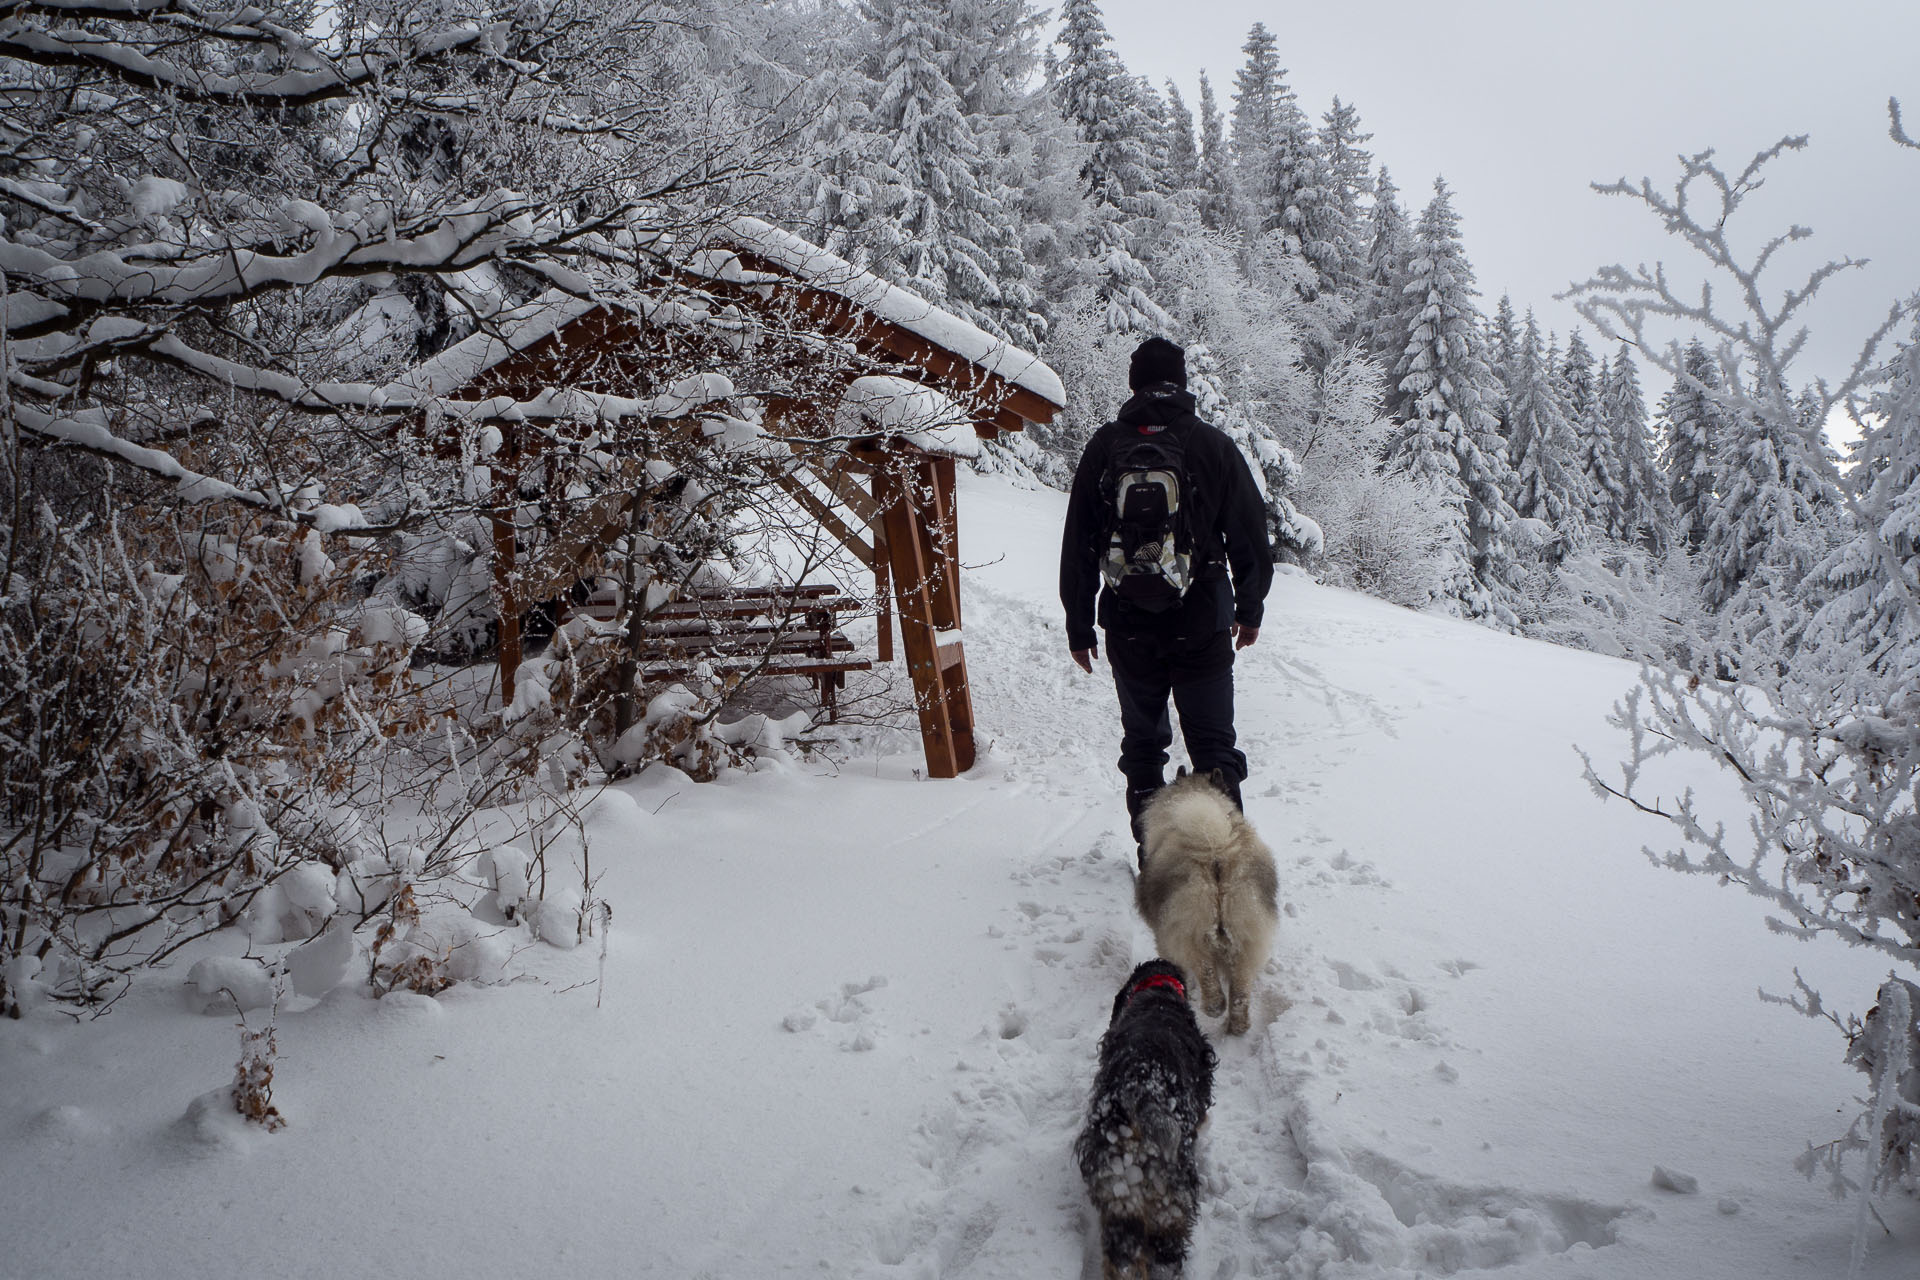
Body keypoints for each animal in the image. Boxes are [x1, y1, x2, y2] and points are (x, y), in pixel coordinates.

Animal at [1082, 955, 1213, 1274]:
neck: (1157, 991)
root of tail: (1144, 1089)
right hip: (1171, 1200)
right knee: (1167, 1254)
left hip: (1119, 1192)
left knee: (1122, 1258)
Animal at [1136, 771, 1274, 1043]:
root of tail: (1216, 850)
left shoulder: (1164, 939)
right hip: (1246, 936)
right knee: (1240, 992)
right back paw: (1237, 1025)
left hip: (1191, 931)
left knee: (1205, 971)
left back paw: (1213, 1007)